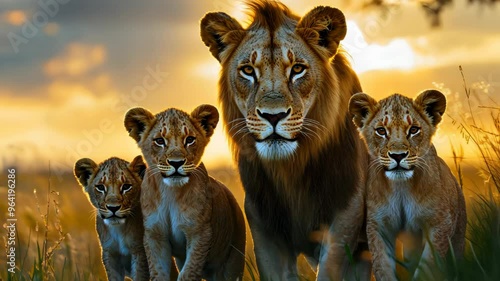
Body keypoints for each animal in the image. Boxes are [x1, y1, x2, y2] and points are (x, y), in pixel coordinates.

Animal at [201, 1, 370, 278]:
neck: (290, 171)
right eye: (248, 70)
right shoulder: (265, 228)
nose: (273, 115)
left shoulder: (345, 218)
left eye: (297, 69)